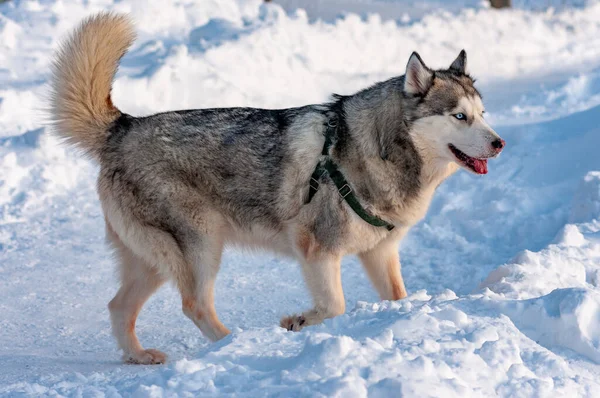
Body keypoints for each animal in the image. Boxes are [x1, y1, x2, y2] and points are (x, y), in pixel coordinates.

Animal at [49, 14, 504, 366]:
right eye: (459, 116)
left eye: (483, 113)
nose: (500, 143)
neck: (375, 149)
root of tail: (122, 127)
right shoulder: (317, 251)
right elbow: (334, 306)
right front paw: (297, 322)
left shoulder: (380, 253)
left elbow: (398, 296)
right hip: (201, 246)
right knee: (194, 304)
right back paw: (234, 344)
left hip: (155, 260)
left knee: (119, 307)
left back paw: (139, 356)